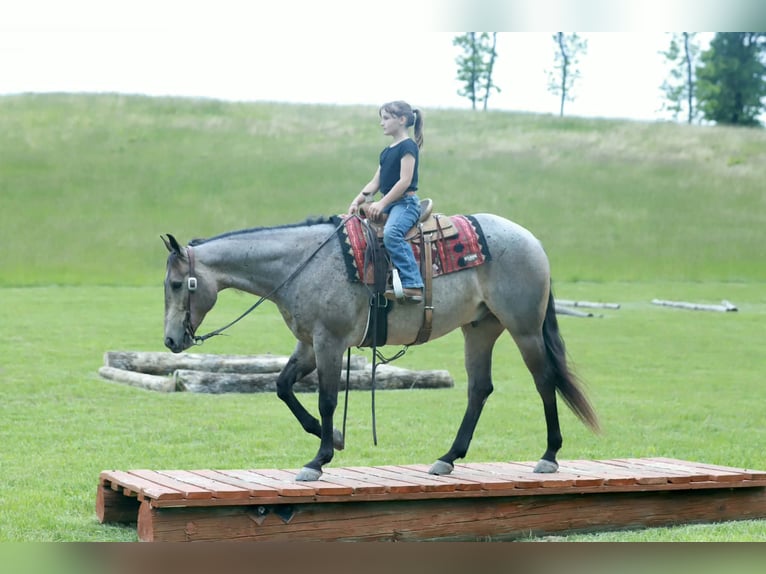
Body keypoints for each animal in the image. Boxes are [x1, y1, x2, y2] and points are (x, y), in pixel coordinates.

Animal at [162, 213, 599, 482]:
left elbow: (327, 399)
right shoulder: (308, 343)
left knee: (544, 380)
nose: (170, 340)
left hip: (524, 329)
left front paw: (319, 459)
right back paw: (447, 457)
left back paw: (549, 455)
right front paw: (334, 439)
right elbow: (283, 386)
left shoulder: (330, 342)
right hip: (479, 329)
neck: (301, 264)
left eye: (176, 284)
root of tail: (532, 240)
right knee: (479, 389)